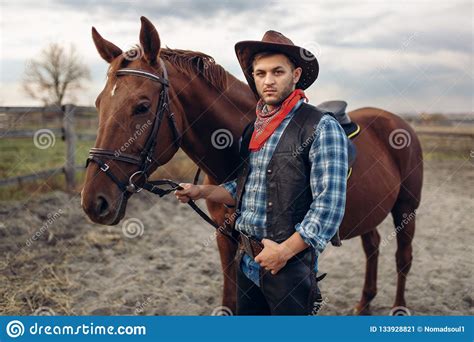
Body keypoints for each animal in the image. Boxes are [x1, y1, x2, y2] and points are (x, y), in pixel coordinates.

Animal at [80, 16, 422, 316]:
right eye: (98, 104)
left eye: (142, 106)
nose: (94, 201)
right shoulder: (226, 238)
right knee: (372, 246)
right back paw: (364, 304)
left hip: (406, 208)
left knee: (403, 258)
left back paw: (399, 309)